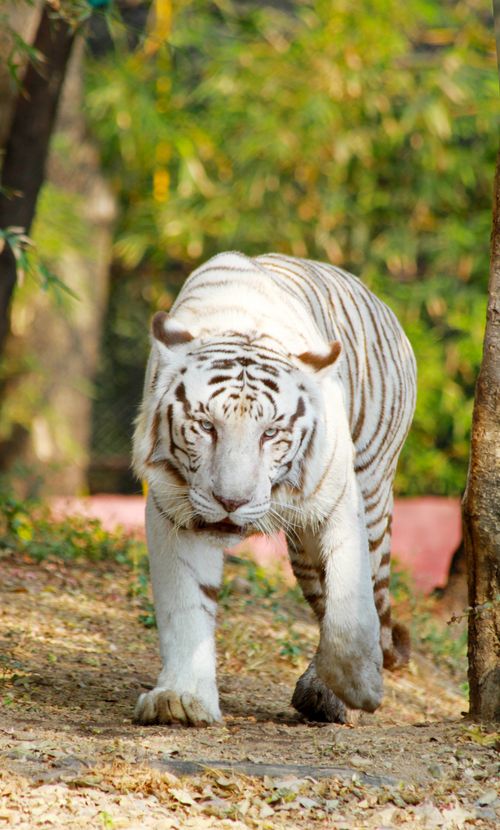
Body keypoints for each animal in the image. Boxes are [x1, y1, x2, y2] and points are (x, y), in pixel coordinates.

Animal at [132, 251, 416, 726]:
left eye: (271, 433)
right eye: (206, 426)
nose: (231, 501)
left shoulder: (340, 503)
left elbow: (349, 612)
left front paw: (360, 687)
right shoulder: (174, 510)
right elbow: (185, 606)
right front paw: (182, 698)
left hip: (372, 496)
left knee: (368, 599)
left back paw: (330, 694)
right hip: (303, 550)